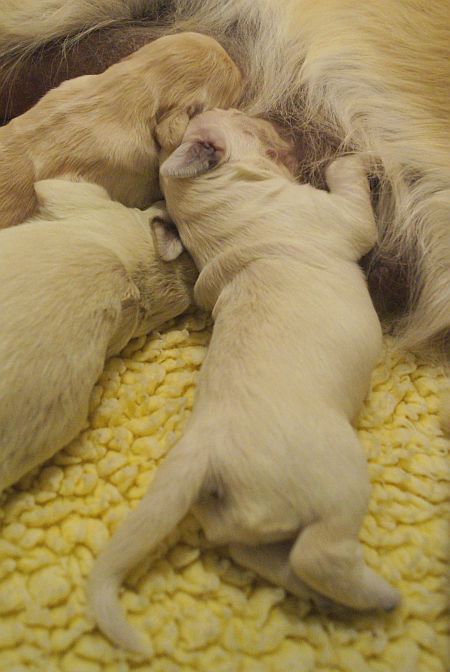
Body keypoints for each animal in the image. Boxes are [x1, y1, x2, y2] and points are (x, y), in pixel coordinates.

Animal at [87, 109, 400, 655]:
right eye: (245, 120)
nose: (282, 118)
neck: (223, 210)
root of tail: (205, 454)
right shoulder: (337, 215)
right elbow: (346, 184)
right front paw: (358, 155)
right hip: (337, 476)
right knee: (318, 552)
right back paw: (377, 596)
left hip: (245, 518)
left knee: (255, 553)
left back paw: (319, 596)